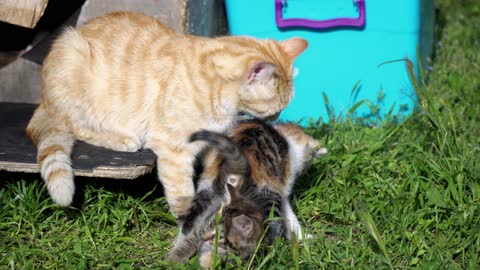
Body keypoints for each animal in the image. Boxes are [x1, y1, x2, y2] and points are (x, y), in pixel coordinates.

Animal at [25, 11, 308, 217]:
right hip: (73, 59)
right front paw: (187, 219)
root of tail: (43, 99)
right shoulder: (175, 150)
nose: (275, 118)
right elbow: (182, 189)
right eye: (276, 107)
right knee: (76, 126)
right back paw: (121, 138)